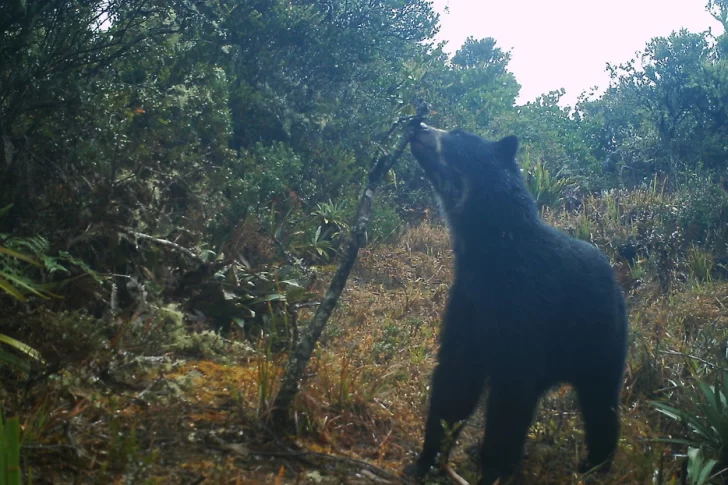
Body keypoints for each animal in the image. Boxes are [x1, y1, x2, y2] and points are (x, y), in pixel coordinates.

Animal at [400, 124, 628, 484]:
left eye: (458, 132)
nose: (419, 127)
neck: (489, 252)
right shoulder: (468, 304)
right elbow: (454, 381)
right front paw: (424, 461)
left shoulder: (526, 310)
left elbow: (509, 400)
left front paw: (493, 468)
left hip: (600, 340)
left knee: (600, 400)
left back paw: (596, 462)